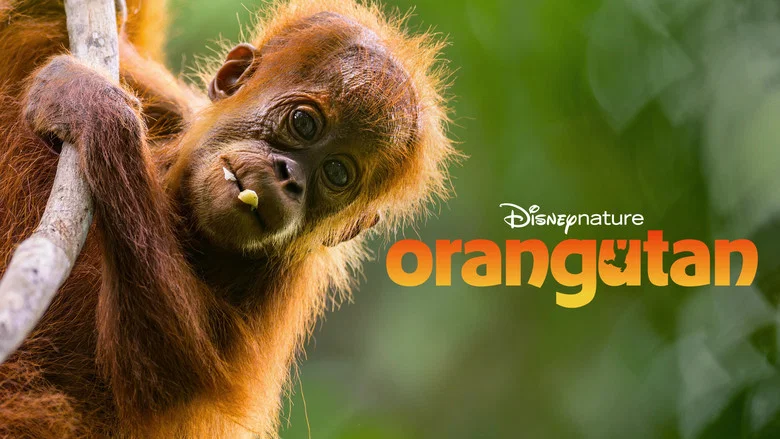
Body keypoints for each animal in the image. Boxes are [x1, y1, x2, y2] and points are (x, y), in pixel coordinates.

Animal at [0, 0, 456, 437]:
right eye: (304, 122)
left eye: (337, 173)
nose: (290, 178)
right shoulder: (170, 107)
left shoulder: (278, 289)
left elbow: (163, 374)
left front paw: (92, 108)